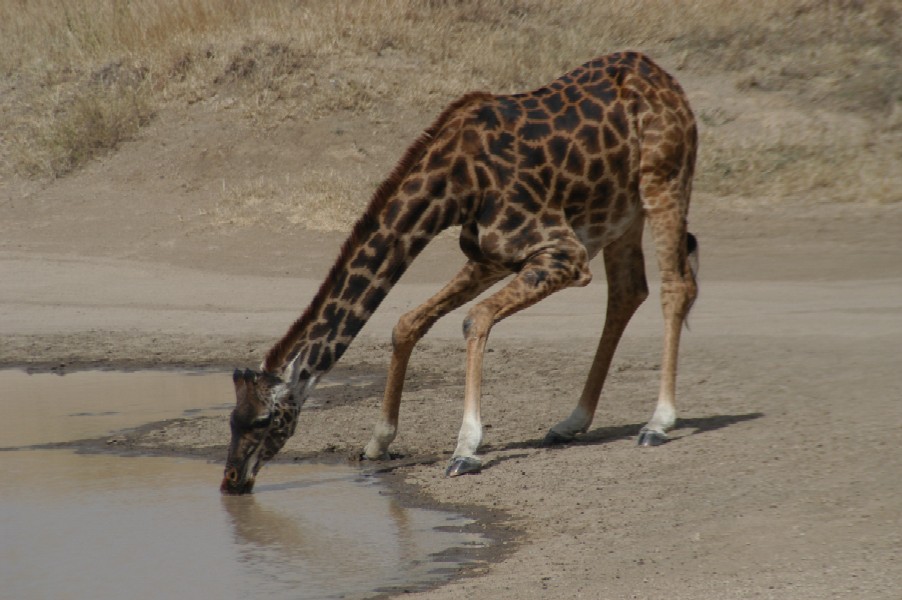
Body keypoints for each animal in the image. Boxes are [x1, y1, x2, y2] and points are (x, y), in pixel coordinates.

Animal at [222, 50, 704, 492]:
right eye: (231, 418)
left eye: (263, 419)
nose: (230, 480)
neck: (454, 184)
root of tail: (668, 81)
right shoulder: (491, 256)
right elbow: (407, 323)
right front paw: (378, 442)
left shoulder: (564, 254)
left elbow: (475, 318)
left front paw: (466, 449)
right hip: (621, 213)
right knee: (628, 292)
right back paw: (572, 422)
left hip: (663, 181)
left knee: (675, 285)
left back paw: (658, 423)